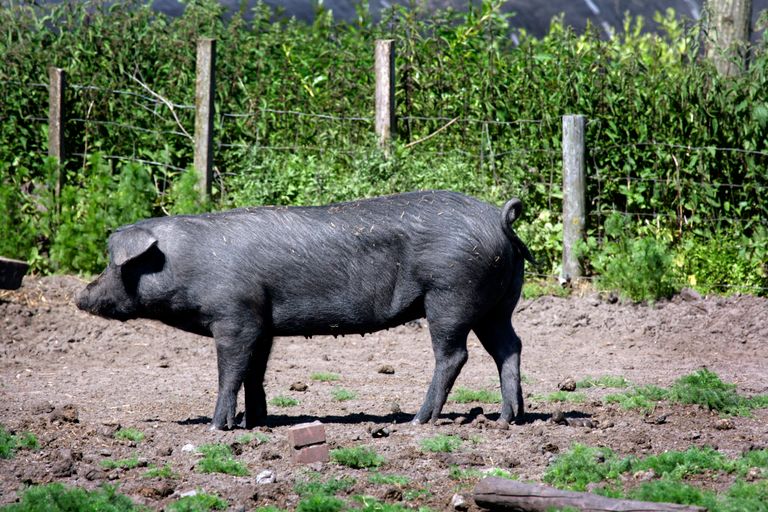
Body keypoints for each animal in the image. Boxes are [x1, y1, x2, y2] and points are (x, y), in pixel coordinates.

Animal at [78, 190, 536, 430]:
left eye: (114, 264)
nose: (80, 297)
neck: (187, 264)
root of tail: (500, 219)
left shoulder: (235, 317)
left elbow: (231, 370)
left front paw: (218, 427)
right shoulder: (261, 323)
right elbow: (255, 372)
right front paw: (257, 423)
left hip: (450, 295)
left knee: (454, 355)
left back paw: (416, 421)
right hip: (498, 304)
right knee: (510, 347)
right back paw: (507, 419)